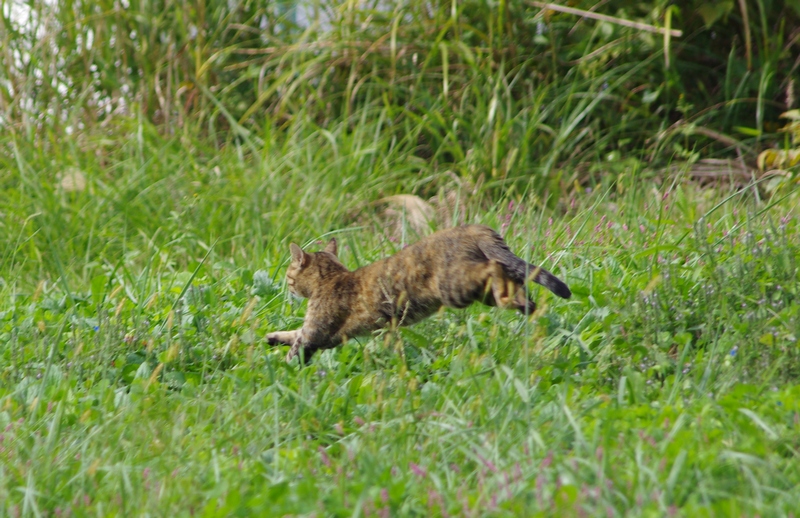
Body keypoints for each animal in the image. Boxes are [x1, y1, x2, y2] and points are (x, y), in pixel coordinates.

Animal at [268, 225, 568, 364]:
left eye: (289, 274)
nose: (287, 285)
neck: (332, 278)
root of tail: (474, 227)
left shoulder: (317, 332)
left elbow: (296, 348)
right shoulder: (326, 335)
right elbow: (293, 333)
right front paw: (273, 337)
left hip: (455, 286)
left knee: (493, 267)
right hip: (481, 293)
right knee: (516, 281)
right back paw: (524, 302)